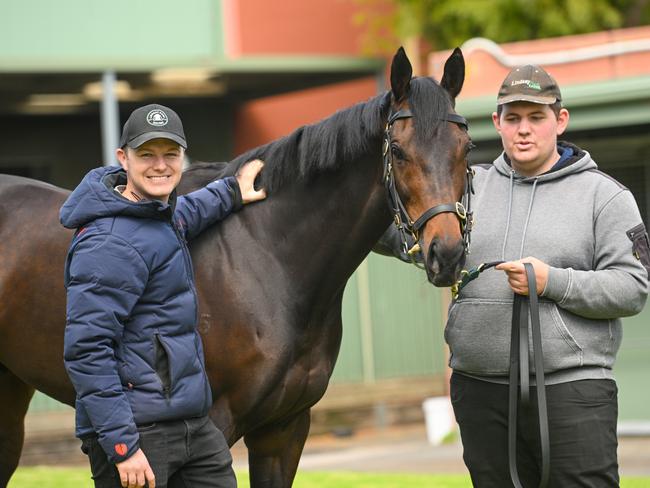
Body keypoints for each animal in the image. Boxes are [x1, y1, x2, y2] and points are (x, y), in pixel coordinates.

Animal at [0, 46, 468, 488]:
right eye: (399, 152)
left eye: (465, 149)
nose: (446, 252)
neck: (268, 256)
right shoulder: (213, 426)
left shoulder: (284, 431)